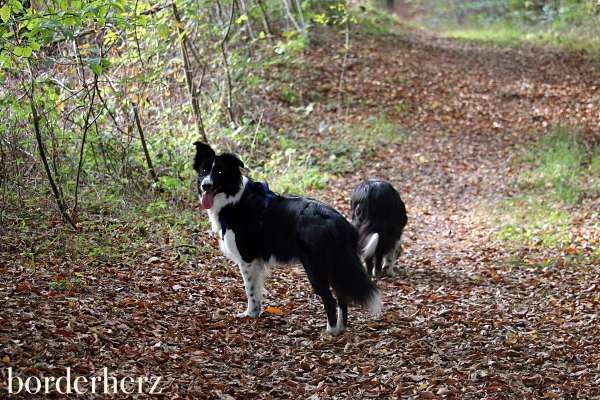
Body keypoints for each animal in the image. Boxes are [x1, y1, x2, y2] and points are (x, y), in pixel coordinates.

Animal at [193, 142, 380, 336]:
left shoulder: (247, 258)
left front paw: (250, 314)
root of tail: (338, 221)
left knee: (330, 299)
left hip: (315, 267)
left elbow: (250, 290)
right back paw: (341, 328)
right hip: (335, 265)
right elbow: (257, 290)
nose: (206, 185)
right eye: (204, 170)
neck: (235, 200)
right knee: (342, 295)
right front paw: (256, 313)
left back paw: (330, 331)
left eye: (220, 172)